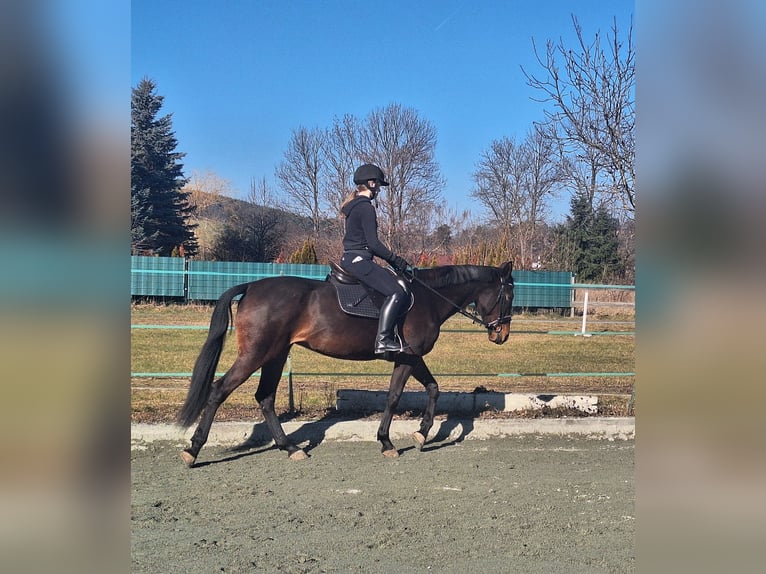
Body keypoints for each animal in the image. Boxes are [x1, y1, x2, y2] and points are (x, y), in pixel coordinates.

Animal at [178, 260, 516, 468]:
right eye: (509, 294)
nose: (502, 335)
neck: (427, 298)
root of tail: (251, 286)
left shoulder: (411, 356)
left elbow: (433, 388)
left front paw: (420, 434)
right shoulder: (407, 357)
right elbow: (395, 396)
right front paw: (389, 442)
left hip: (275, 355)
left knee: (266, 398)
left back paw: (290, 448)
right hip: (256, 354)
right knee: (219, 391)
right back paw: (192, 450)